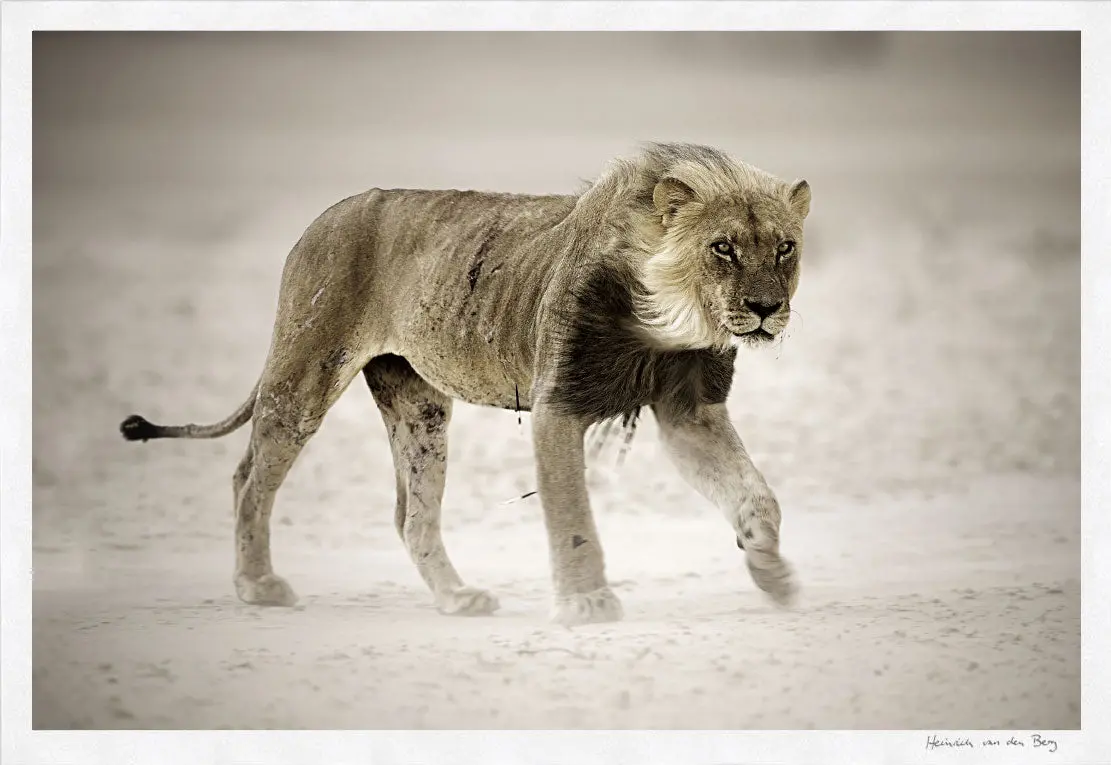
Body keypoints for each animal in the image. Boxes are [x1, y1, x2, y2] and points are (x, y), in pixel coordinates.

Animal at [120, 142, 810, 626]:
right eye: (722, 247)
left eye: (784, 248)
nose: (766, 307)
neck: (670, 321)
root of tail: (325, 215)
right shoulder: (558, 405)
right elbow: (573, 515)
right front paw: (585, 603)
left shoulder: (691, 411)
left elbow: (759, 497)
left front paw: (771, 572)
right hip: (304, 373)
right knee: (249, 478)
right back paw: (258, 586)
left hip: (419, 407)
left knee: (410, 516)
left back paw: (456, 599)